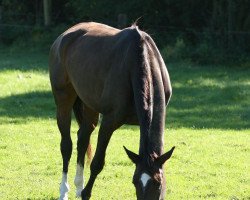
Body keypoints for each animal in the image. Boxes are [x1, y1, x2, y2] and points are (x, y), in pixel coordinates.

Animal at [48, 21, 174, 200]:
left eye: (158, 183)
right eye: (134, 181)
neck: (138, 61)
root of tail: (64, 36)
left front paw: (83, 191)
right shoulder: (109, 122)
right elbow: (97, 163)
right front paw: (86, 193)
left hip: (89, 105)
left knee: (82, 138)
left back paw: (78, 186)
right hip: (63, 100)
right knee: (67, 145)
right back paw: (64, 191)